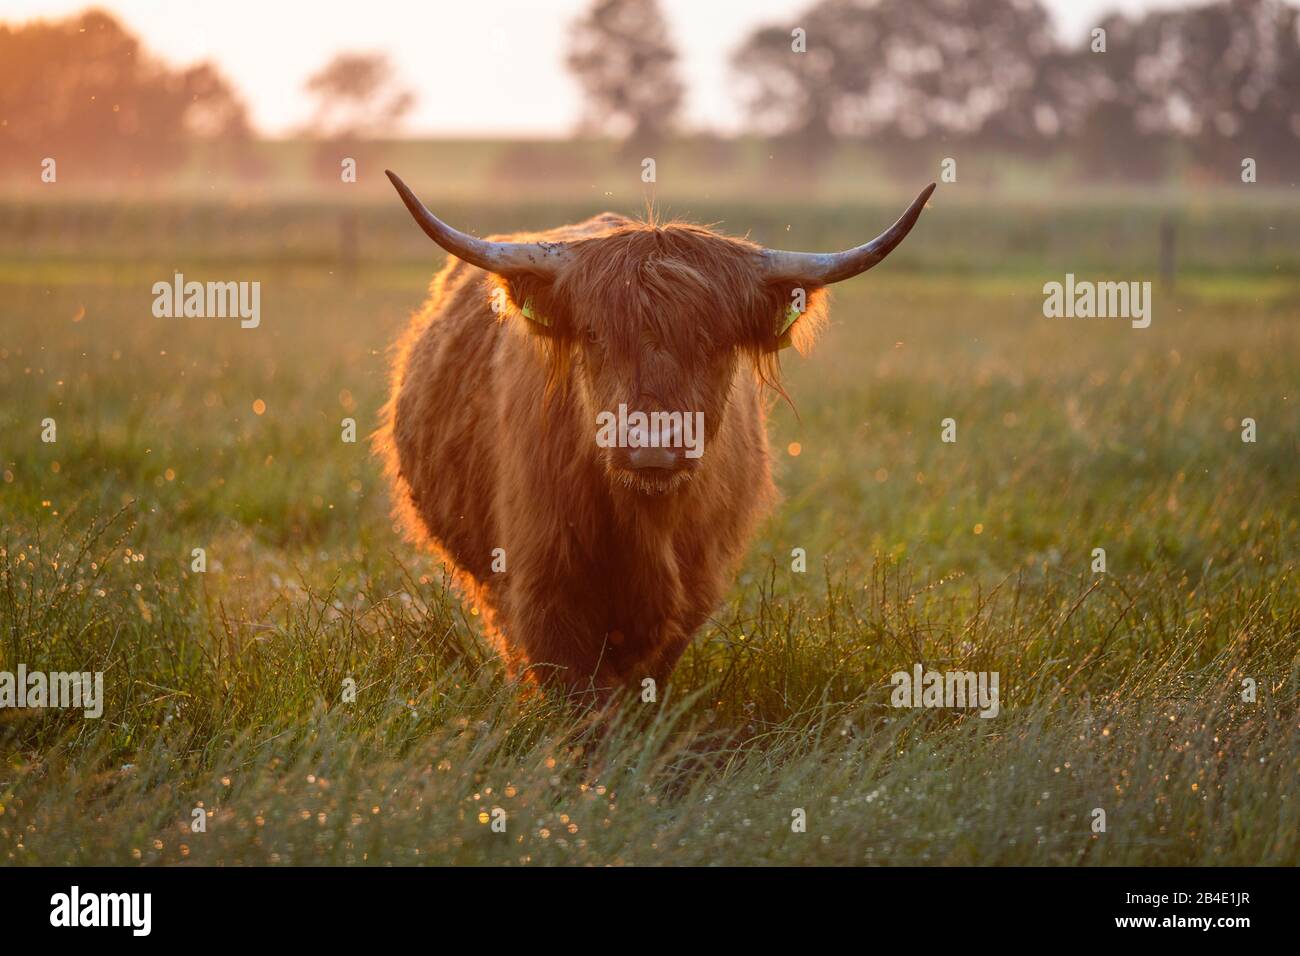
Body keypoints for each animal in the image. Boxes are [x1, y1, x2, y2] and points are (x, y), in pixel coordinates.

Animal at [377, 170, 935, 697]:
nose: (652, 448)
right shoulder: (542, 583)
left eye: (715, 340)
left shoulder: (694, 587)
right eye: (594, 334)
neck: (646, 520)